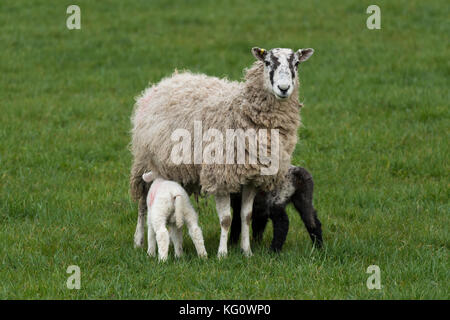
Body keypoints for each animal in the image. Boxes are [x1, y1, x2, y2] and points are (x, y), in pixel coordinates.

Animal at [129, 47, 312, 258]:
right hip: (144, 162)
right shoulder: (221, 176)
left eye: (296, 64)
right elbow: (226, 219)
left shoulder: (253, 178)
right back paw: (139, 240)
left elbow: (246, 216)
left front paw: (247, 251)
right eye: (267, 63)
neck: (239, 110)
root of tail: (171, 78)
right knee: (143, 204)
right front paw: (222, 254)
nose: (283, 88)